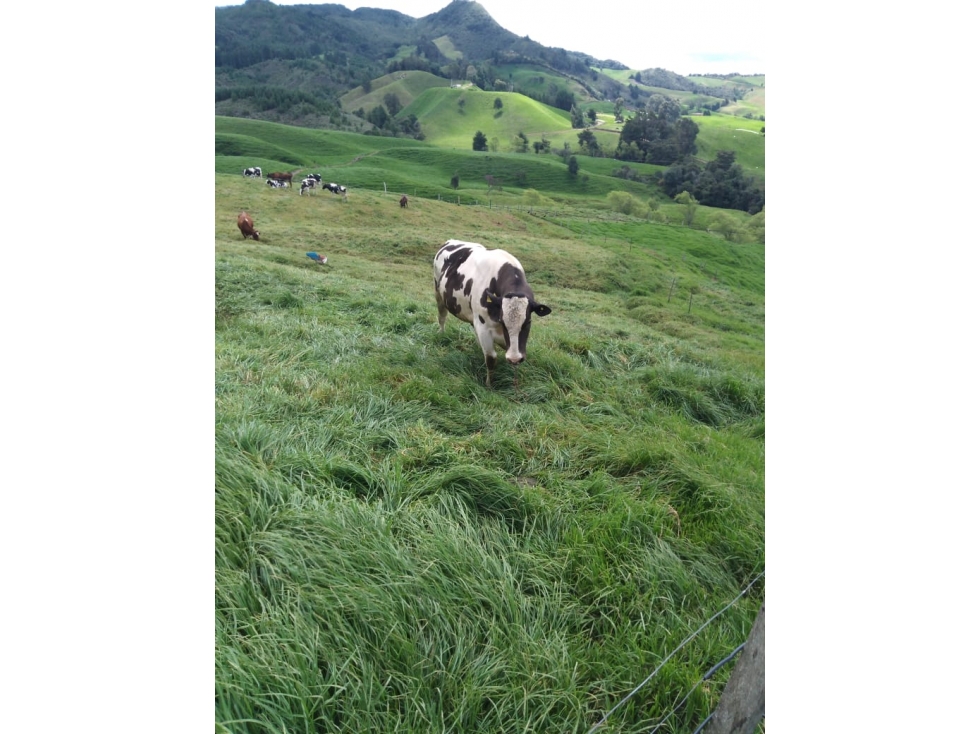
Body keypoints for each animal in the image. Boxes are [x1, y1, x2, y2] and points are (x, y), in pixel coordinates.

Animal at [434, 242, 552, 392]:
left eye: (528, 322)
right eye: (502, 321)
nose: (514, 358)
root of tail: (450, 241)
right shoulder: (484, 327)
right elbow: (491, 358)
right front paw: (489, 385)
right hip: (438, 293)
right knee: (442, 316)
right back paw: (441, 333)